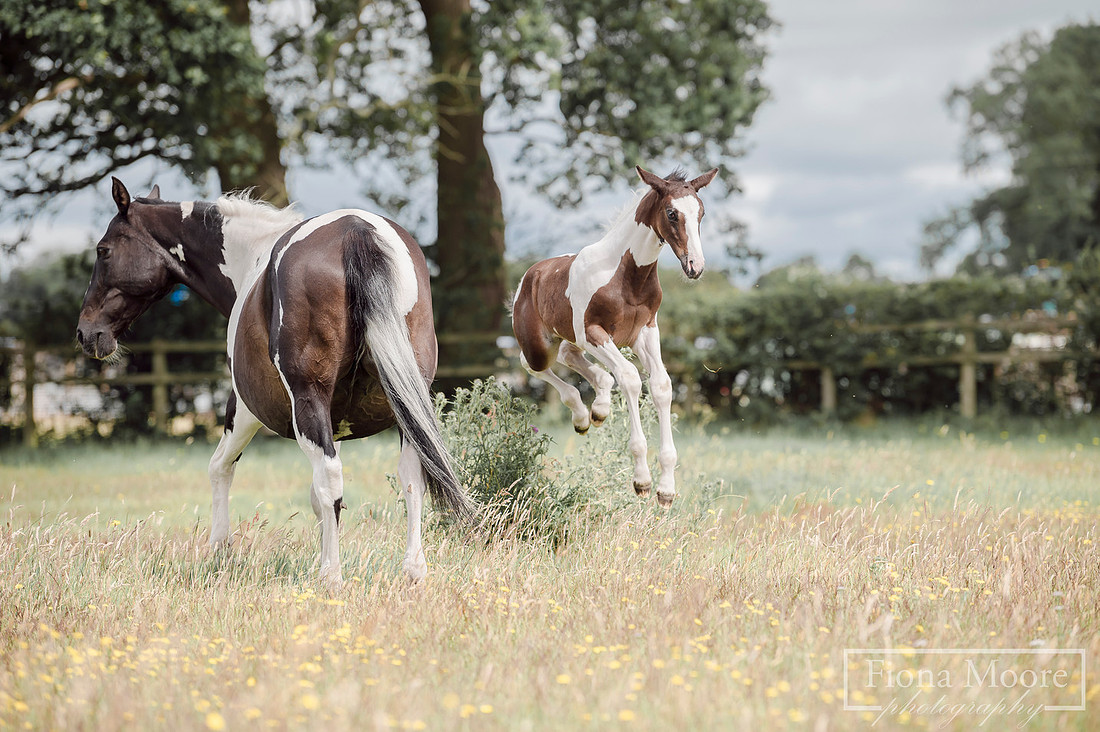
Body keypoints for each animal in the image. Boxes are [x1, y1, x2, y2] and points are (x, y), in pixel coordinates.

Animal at [76, 178, 471, 585]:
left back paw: (331, 576)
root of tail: (356, 232)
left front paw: (220, 552)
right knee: (411, 475)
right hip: (405, 402)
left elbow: (220, 467)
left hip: (306, 401)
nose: (86, 333)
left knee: (331, 479)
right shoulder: (334, 420)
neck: (250, 259)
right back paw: (413, 569)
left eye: (103, 251)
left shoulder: (246, 410)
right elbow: (319, 498)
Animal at [511, 166, 718, 506]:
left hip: (573, 339)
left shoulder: (645, 331)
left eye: (701, 213)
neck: (627, 276)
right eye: (671, 213)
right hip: (540, 346)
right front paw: (642, 481)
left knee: (573, 358)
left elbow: (661, 385)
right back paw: (582, 414)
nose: (695, 267)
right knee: (530, 364)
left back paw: (596, 411)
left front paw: (666, 489)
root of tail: (531, 275)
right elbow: (631, 378)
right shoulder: (594, 332)